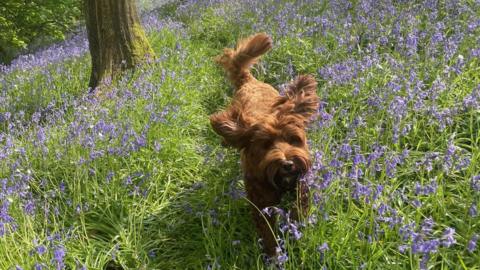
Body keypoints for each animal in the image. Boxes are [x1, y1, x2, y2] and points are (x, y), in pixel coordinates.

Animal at [210, 32, 318, 256]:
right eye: (266, 145)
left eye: (293, 139)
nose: (288, 164)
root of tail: (249, 80)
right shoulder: (260, 201)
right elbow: (267, 229)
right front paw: (274, 253)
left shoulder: (301, 180)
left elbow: (300, 204)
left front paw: (295, 226)